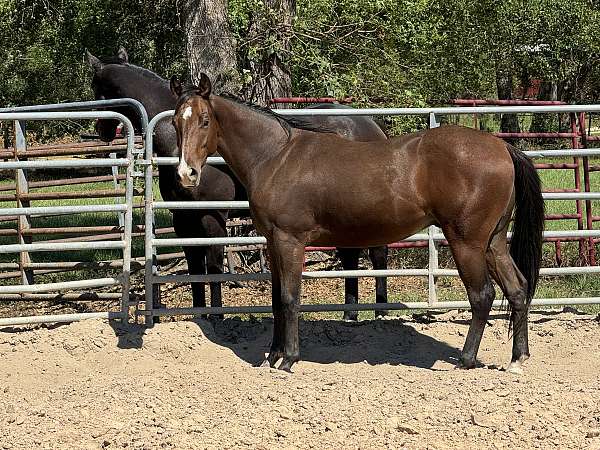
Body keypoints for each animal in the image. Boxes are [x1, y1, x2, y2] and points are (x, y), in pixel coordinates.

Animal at [86, 48, 392, 320]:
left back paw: (379, 312)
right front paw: (200, 316)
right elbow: (195, 269)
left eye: (95, 89)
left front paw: (217, 316)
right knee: (351, 257)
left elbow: (213, 267)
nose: (101, 131)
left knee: (377, 254)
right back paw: (349, 315)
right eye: (174, 122)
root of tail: (370, 126)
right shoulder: (184, 219)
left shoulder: (213, 218)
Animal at [169, 74, 544, 372]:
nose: (186, 174)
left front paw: (288, 359)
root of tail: (501, 147)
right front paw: (272, 356)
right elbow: (276, 299)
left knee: (482, 295)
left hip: (467, 243)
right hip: (494, 242)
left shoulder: (290, 242)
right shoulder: (273, 243)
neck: (276, 156)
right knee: (517, 289)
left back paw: (465, 360)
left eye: (204, 120)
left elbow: (290, 298)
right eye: (175, 122)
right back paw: (517, 359)